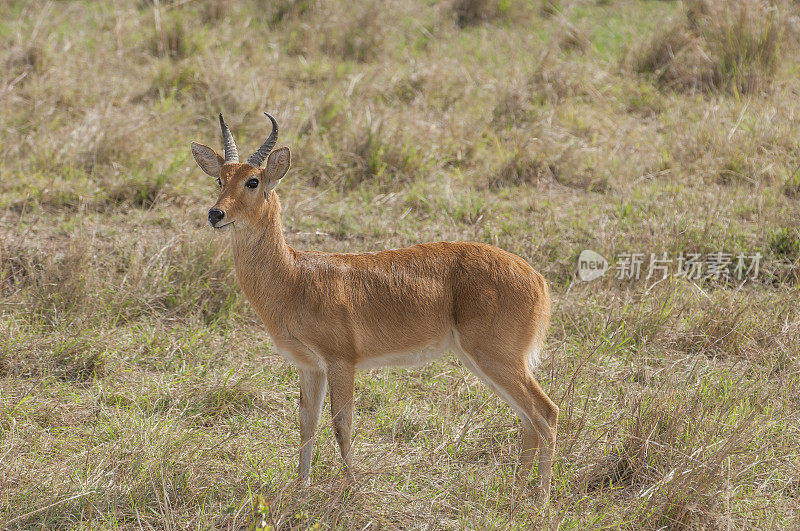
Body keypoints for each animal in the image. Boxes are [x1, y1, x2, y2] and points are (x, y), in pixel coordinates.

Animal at [191, 112, 560, 498]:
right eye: (220, 178)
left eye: (253, 181)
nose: (215, 214)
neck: (294, 276)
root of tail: (537, 278)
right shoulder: (310, 366)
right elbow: (307, 423)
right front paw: (301, 488)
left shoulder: (341, 362)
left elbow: (342, 423)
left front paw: (352, 488)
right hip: (483, 362)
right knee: (528, 420)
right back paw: (516, 493)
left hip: (496, 358)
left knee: (546, 413)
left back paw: (541, 499)